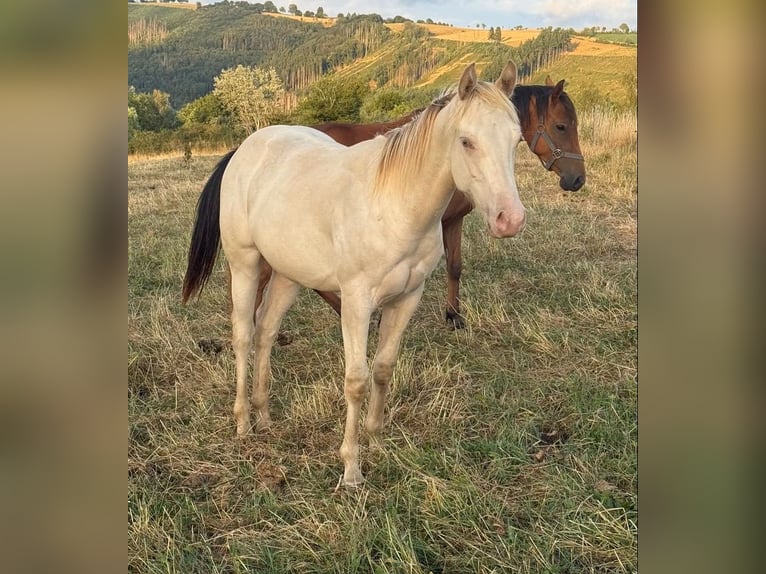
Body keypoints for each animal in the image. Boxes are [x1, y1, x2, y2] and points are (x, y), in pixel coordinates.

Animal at [182, 62, 525, 487]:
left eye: (516, 140)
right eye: (466, 141)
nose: (510, 219)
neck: (395, 203)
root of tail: (245, 149)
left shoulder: (407, 298)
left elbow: (383, 369)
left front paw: (377, 442)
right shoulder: (357, 303)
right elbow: (356, 381)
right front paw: (351, 468)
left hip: (288, 275)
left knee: (266, 331)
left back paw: (264, 416)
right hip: (245, 264)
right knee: (244, 336)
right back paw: (244, 422)